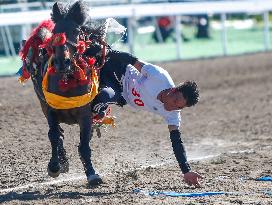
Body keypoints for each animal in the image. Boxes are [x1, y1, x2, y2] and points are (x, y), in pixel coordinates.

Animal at [18, 0, 106, 186]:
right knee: (57, 134)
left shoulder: (85, 114)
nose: (62, 61)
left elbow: (84, 143)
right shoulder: (49, 109)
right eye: (55, 32)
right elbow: (54, 136)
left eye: (75, 31)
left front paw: (92, 173)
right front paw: (55, 166)